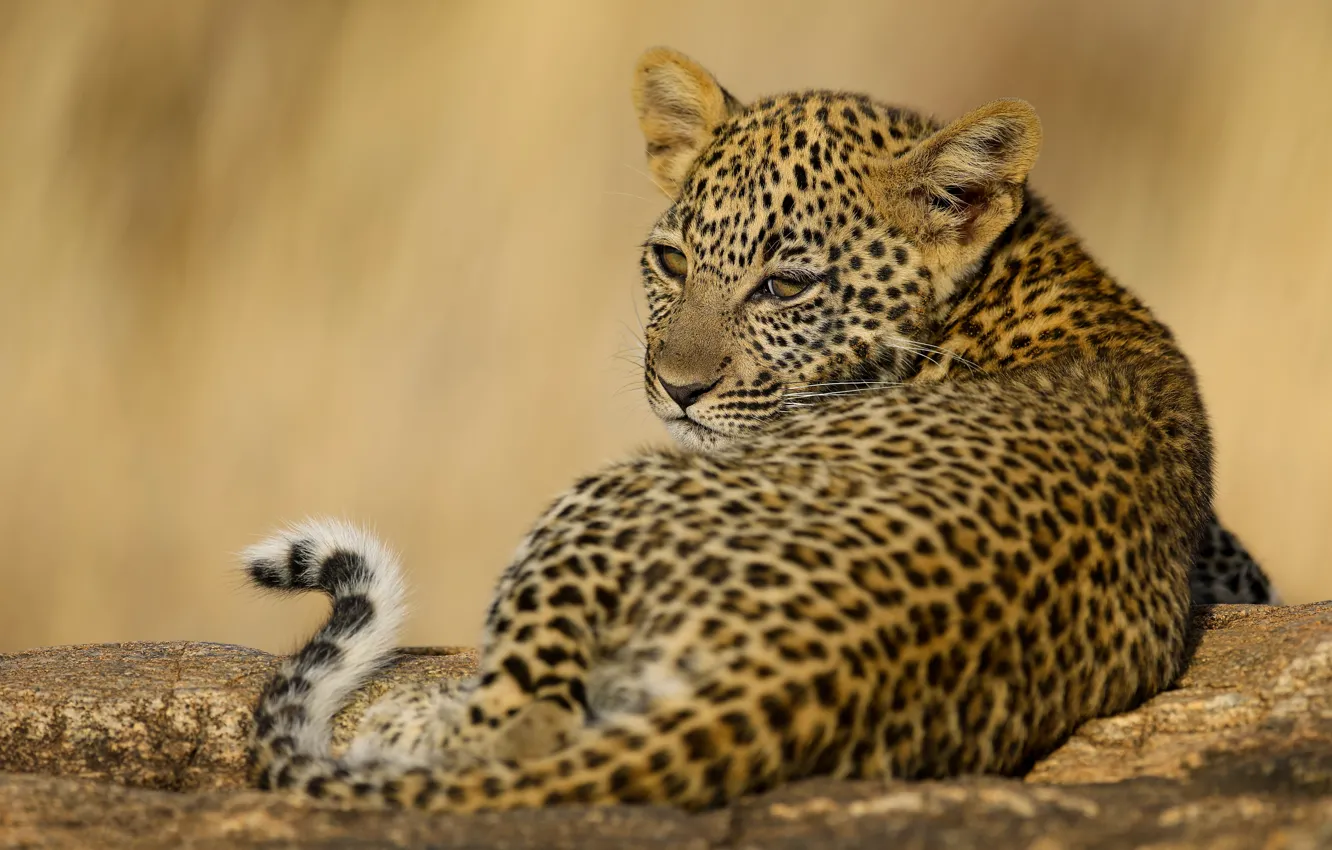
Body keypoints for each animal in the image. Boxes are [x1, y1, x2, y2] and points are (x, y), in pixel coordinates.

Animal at [239, 47, 1281, 813]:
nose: (676, 389)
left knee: (521, 725)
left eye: (785, 285)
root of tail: (805, 669)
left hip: (607, 492)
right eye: (669, 261)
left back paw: (408, 721)